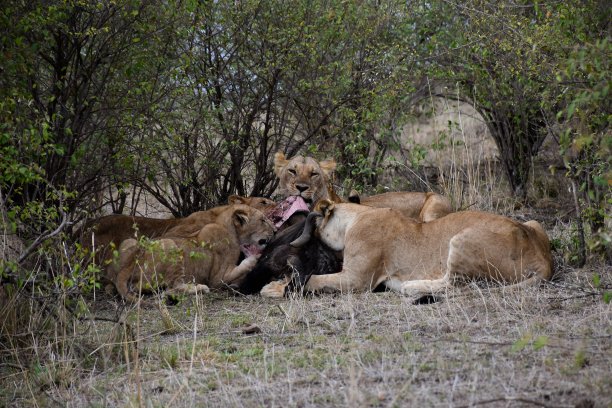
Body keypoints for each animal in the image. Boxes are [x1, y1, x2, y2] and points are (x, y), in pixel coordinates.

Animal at [114, 206, 274, 302]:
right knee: (173, 287)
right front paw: (255, 258)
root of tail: (127, 267)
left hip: (128, 242)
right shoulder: (218, 278)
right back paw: (200, 288)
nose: (274, 230)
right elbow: (244, 266)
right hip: (169, 244)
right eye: (262, 220)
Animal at [280, 200, 552, 298]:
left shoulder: (357, 280)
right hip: (534, 223)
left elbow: (315, 279)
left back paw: (411, 287)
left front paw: (279, 287)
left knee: (455, 284)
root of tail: (543, 260)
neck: (355, 217)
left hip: (461, 238)